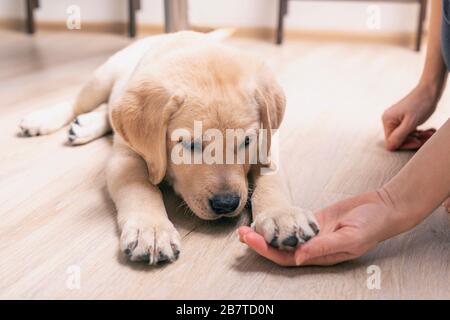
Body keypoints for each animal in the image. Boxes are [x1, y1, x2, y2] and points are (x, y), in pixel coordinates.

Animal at [18, 30, 320, 264]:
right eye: (189, 144)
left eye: (246, 141)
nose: (226, 204)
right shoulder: (127, 158)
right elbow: (140, 189)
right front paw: (151, 231)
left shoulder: (269, 147)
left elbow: (272, 182)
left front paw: (282, 216)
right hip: (100, 78)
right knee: (78, 102)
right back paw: (42, 119)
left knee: (108, 109)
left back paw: (85, 125)